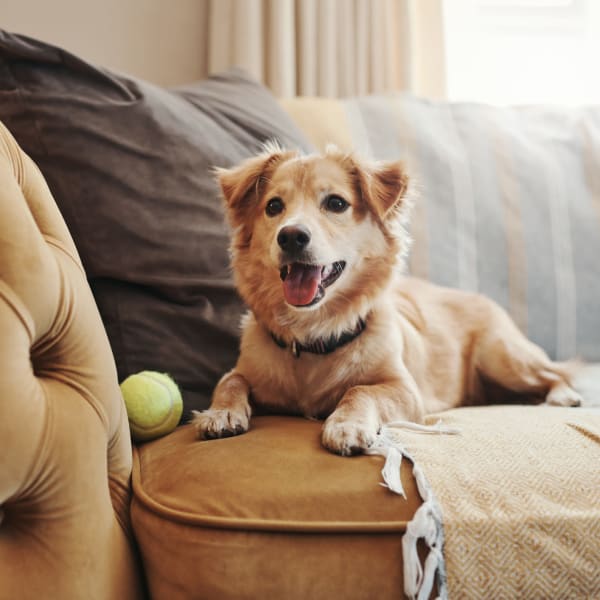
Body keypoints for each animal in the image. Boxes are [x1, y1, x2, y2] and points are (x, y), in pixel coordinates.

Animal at [191, 145, 580, 454]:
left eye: (336, 203)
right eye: (273, 206)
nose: (290, 236)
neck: (315, 335)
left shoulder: (405, 390)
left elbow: (361, 390)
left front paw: (346, 425)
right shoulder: (245, 371)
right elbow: (230, 380)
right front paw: (220, 412)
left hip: (501, 356)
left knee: (554, 373)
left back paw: (561, 395)